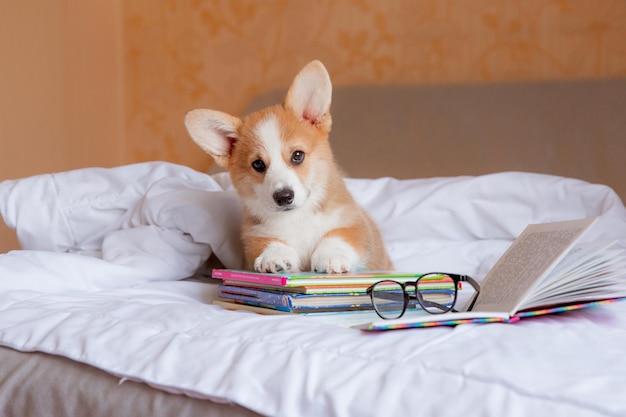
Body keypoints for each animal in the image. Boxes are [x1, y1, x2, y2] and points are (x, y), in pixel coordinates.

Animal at [183, 59, 392, 272]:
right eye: (258, 164)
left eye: (297, 155)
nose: (283, 197)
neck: (297, 218)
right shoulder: (255, 235)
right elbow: (269, 243)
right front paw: (273, 256)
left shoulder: (353, 221)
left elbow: (339, 235)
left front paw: (331, 256)